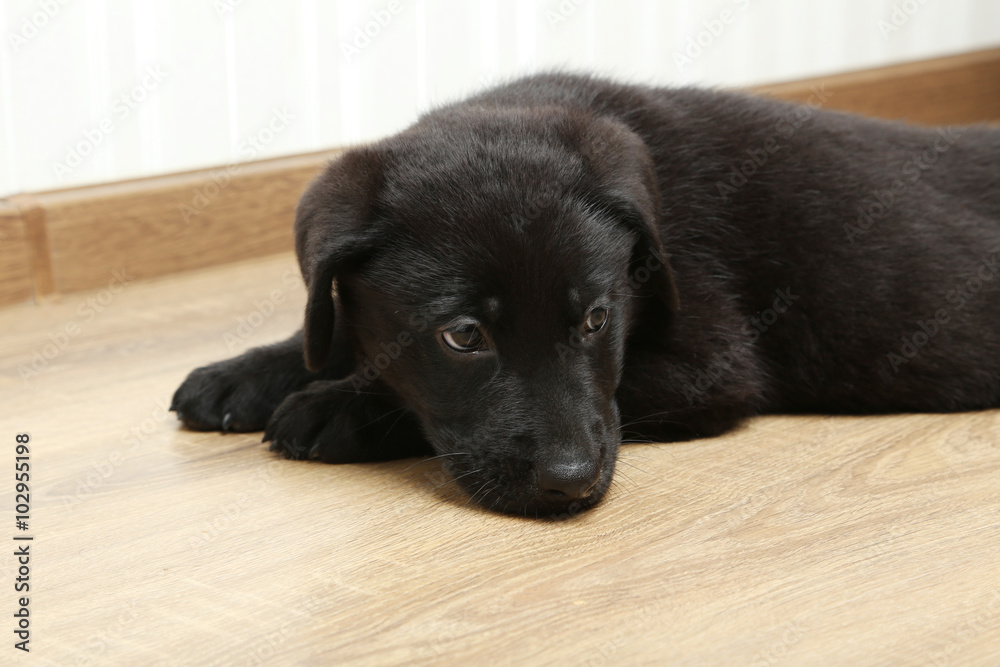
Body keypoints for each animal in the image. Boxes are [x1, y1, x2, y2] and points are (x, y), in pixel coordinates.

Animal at [172, 75, 1000, 520]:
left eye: (597, 319)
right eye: (463, 336)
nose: (568, 483)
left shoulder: (709, 358)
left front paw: (337, 406)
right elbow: (335, 325)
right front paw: (244, 373)